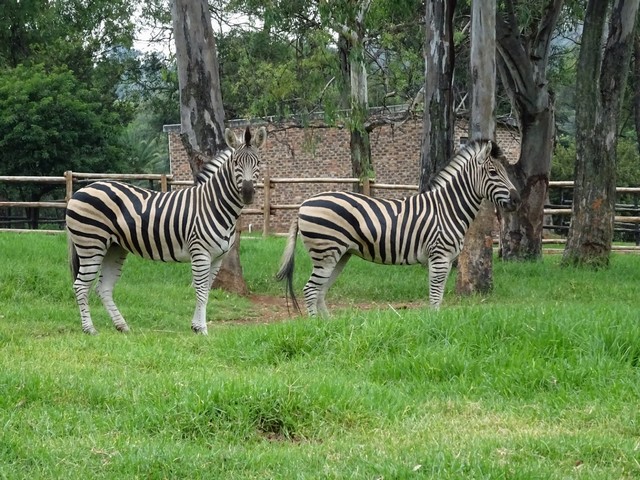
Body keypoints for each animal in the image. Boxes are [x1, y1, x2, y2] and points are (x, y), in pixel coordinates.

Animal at [64, 125, 264, 336]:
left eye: (258, 162)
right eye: (235, 162)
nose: (248, 193)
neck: (213, 204)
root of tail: (81, 190)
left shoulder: (217, 257)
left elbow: (207, 291)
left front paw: (196, 326)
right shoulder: (200, 253)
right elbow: (201, 291)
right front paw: (202, 329)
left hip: (114, 248)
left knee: (103, 288)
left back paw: (122, 326)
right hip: (91, 244)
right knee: (80, 286)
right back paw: (89, 329)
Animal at [276, 139, 520, 316]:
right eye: (493, 173)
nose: (517, 200)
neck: (448, 208)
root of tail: (303, 204)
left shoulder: (446, 259)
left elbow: (439, 295)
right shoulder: (439, 256)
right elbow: (435, 296)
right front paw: (434, 325)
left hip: (340, 255)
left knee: (320, 291)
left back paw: (329, 326)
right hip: (326, 252)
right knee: (310, 290)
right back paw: (315, 326)